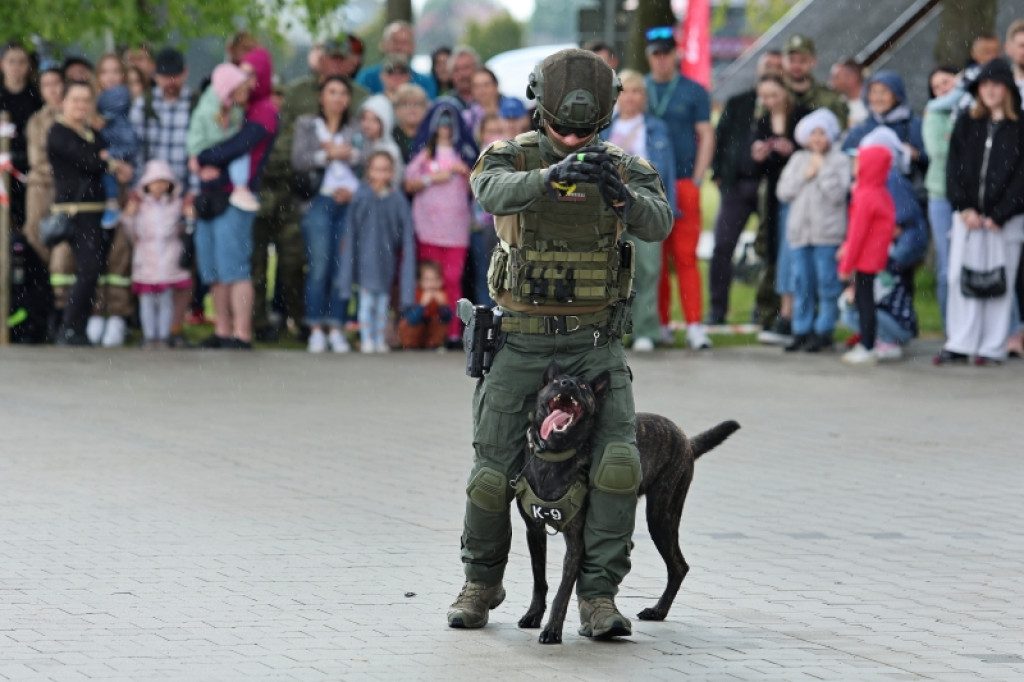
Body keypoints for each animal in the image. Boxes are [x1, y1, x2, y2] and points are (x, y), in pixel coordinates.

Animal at [516, 360, 741, 643]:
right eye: (557, 382)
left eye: (582, 386)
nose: (567, 384)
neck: (556, 456)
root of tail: (684, 438)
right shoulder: (533, 531)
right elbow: (540, 580)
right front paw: (534, 614)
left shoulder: (576, 541)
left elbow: (562, 591)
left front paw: (553, 630)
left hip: (661, 516)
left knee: (679, 566)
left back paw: (658, 611)